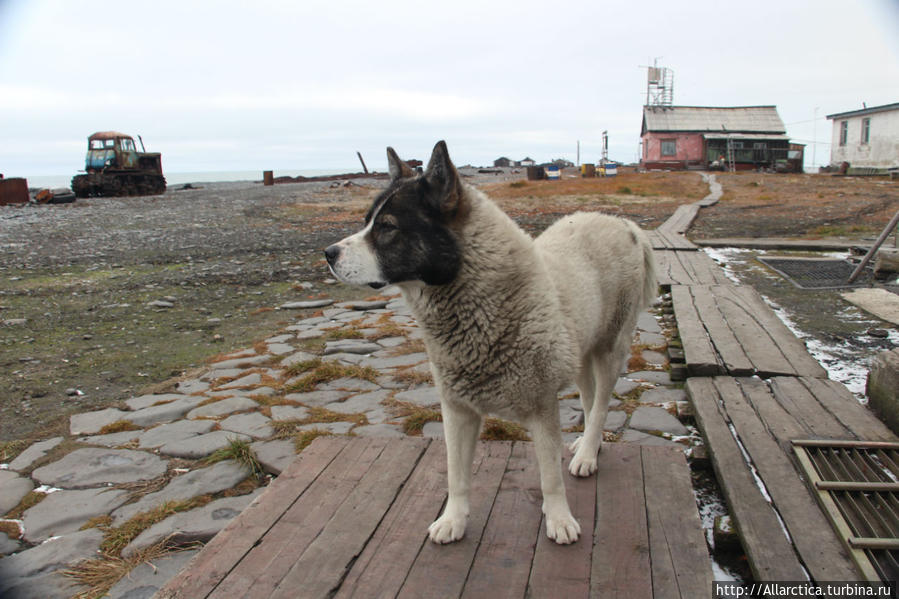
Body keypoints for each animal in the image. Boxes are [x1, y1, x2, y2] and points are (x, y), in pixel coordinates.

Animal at [326, 143, 656, 548]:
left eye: (387, 227)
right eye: (367, 222)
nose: (328, 254)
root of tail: (625, 225)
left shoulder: (542, 408)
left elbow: (550, 478)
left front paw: (559, 519)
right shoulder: (457, 410)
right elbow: (456, 475)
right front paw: (453, 520)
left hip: (610, 349)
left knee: (603, 404)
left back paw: (588, 455)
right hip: (582, 350)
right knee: (591, 399)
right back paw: (587, 448)